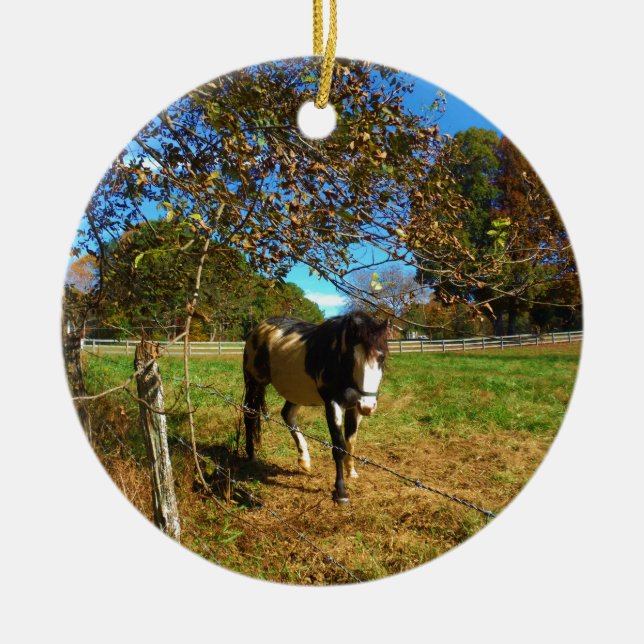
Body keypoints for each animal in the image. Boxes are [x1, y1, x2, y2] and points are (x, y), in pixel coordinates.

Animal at [242, 311, 390, 504]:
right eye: (352, 358)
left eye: (382, 357)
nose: (367, 407)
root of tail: (259, 327)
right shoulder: (333, 404)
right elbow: (338, 447)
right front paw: (341, 492)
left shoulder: (354, 407)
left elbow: (351, 442)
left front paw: (352, 471)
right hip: (254, 383)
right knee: (249, 416)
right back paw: (251, 455)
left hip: (296, 392)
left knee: (287, 415)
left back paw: (304, 460)